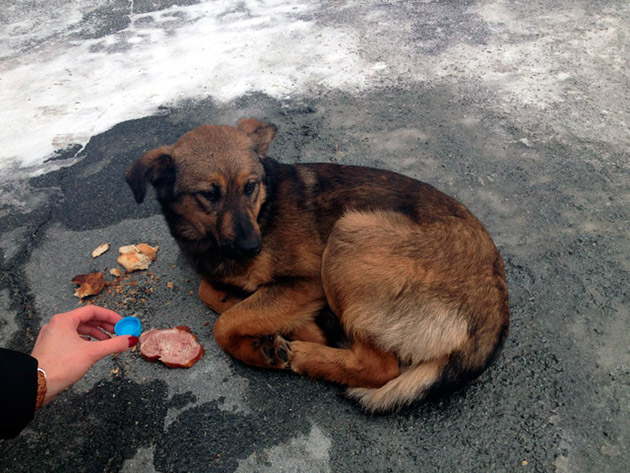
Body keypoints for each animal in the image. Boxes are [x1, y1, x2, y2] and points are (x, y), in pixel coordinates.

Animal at [126, 119, 512, 412]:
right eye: (209, 194)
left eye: (250, 186)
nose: (252, 247)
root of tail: (495, 306)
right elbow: (211, 291)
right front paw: (284, 325)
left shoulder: (308, 282)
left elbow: (225, 325)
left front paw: (259, 348)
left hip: (348, 233)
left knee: (379, 367)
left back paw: (306, 353)